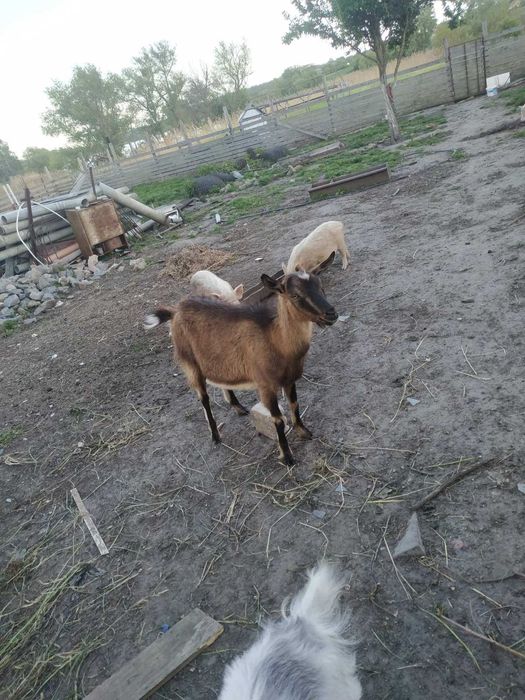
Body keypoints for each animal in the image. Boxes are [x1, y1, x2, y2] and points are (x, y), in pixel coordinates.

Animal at [144, 255, 337, 465]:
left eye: (321, 287)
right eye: (295, 296)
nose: (331, 314)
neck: (276, 340)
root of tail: (175, 311)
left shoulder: (289, 379)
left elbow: (295, 405)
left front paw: (304, 432)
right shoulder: (265, 385)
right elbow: (277, 419)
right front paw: (287, 456)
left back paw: (238, 407)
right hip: (189, 362)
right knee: (203, 398)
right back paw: (215, 436)